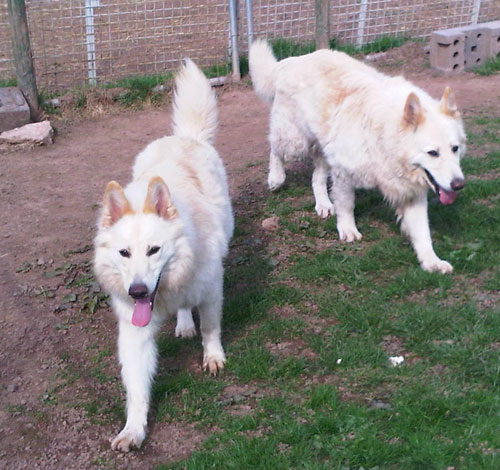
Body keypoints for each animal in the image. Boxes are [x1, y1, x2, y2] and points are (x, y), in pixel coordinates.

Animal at [94, 59, 234, 452]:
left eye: (154, 250)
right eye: (124, 253)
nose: (138, 291)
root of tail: (184, 137)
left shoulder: (211, 289)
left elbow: (212, 328)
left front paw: (213, 357)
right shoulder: (134, 332)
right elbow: (137, 387)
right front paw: (134, 429)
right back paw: (183, 323)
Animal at [252, 40, 466, 276]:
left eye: (455, 149)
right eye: (433, 153)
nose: (459, 185)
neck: (385, 136)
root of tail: (293, 60)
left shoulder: (409, 193)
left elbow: (422, 232)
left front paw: (431, 261)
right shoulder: (344, 173)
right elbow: (347, 205)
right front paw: (348, 229)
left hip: (324, 148)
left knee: (316, 178)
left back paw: (323, 204)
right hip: (295, 141)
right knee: (274, 148)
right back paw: (275, 178)